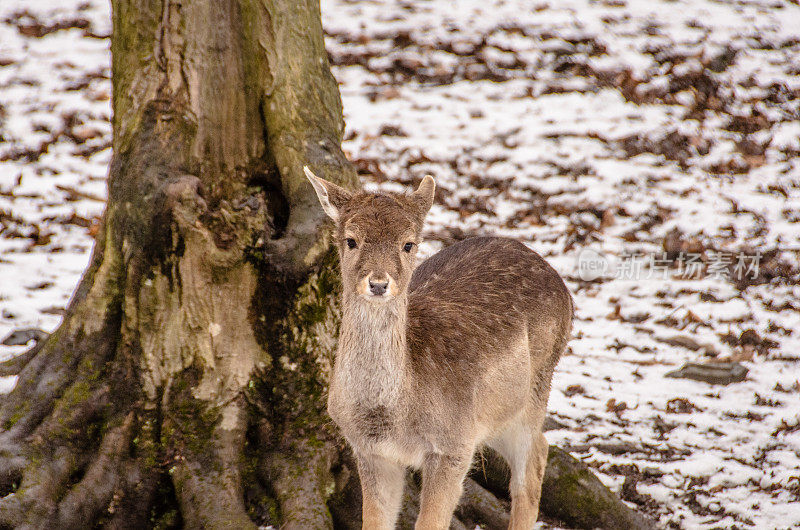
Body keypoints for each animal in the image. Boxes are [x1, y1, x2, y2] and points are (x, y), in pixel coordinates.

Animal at [306, 166, 576, 528]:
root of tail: (564, 289)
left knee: (532, 466)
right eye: (351, 240)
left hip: (534, 389)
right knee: (543, 447)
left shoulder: (453, 448)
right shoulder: (370, 451)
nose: (378, 283)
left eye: (408, 244)